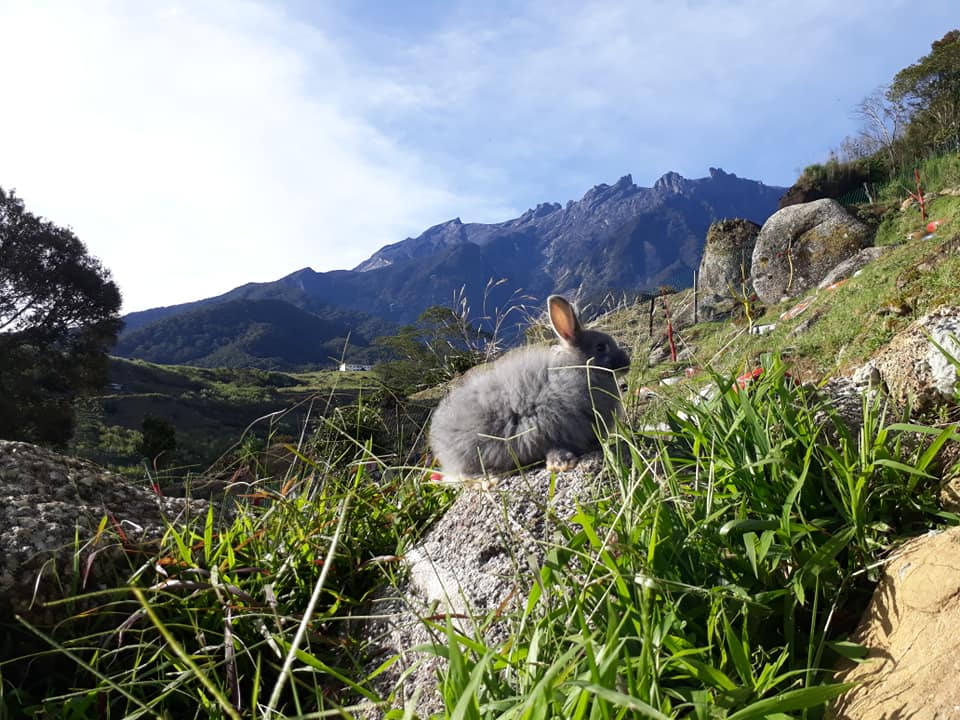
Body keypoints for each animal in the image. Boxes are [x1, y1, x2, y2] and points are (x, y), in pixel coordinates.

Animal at [428, 295, 630, 481]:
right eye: (601, 347)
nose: (627, 363)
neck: (580, 368)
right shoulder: (549, 424)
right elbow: (553, 446)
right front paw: (563, 463)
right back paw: (488, 479)